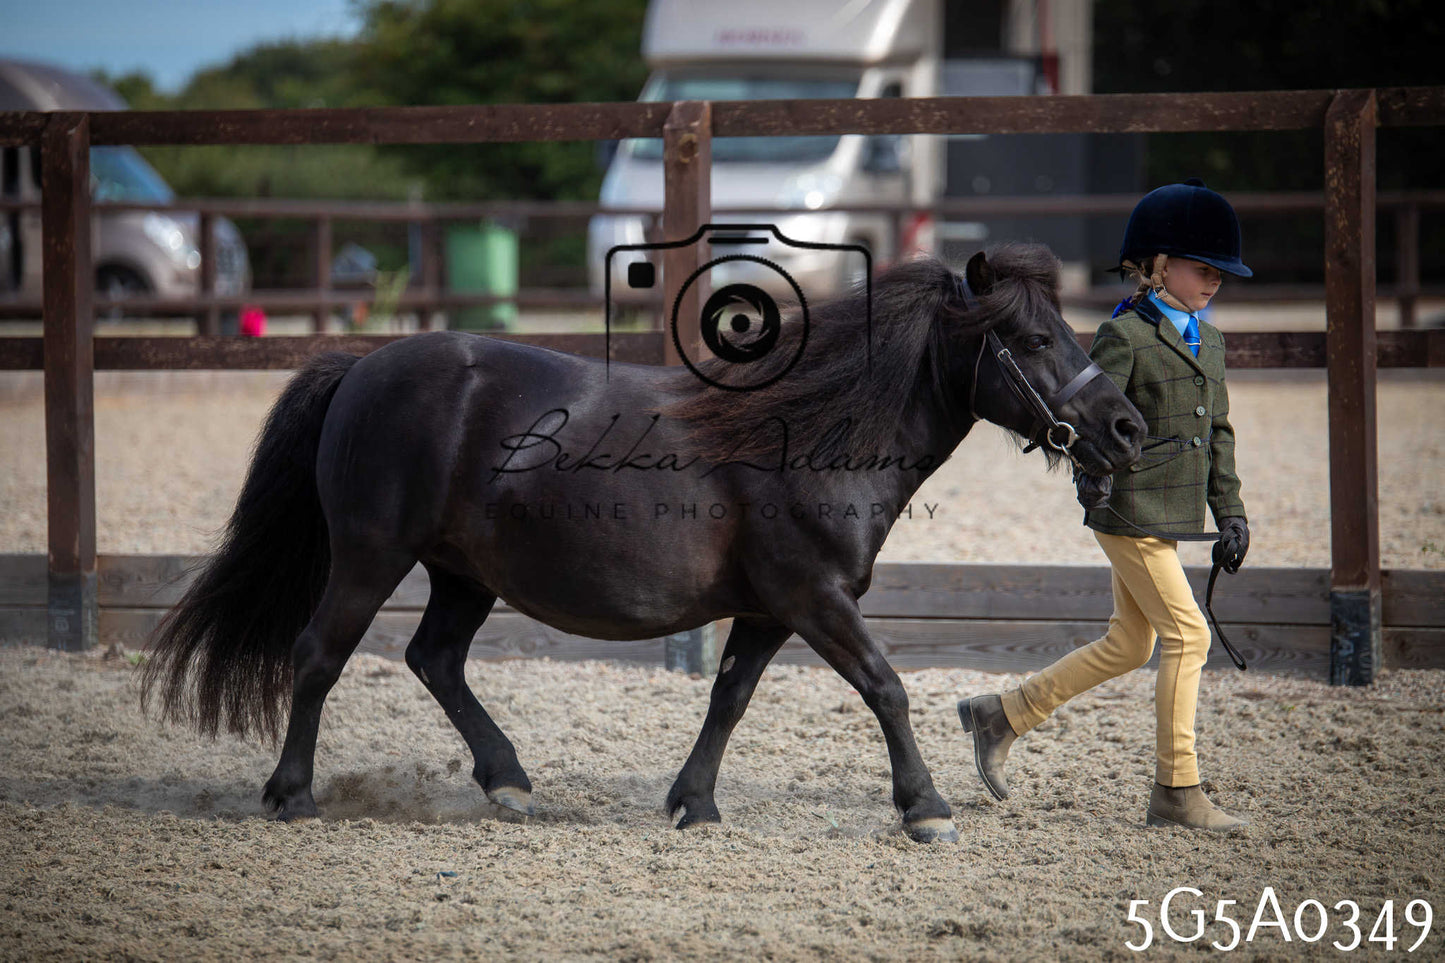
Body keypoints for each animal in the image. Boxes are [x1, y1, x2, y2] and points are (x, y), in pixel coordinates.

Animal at [141, 243, 1146, 843]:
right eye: (1031, 337)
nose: (1126, 427)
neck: (810, 435)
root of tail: (363, 366)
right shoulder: (815, 597)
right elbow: (885, 687)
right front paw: (926, 808)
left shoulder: (769, 610)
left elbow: (729, 698)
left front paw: (692, 803)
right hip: (368, 555)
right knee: (319, 654)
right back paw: (292, 793)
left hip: (463, 573)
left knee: (435, 659)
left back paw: (508, 781)